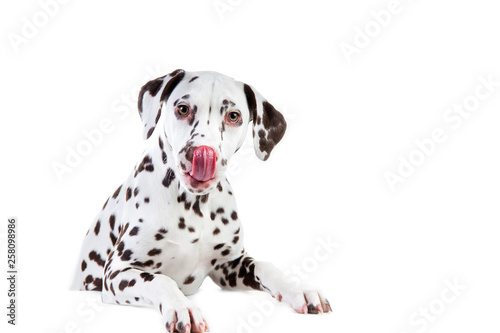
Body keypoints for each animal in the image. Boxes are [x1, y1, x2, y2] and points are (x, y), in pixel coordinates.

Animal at [69, 68, 328, 330]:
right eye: (183, 109)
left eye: (233, 116)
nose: (202, 153)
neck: (194, 206)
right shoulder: (118, 272)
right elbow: (160, 280)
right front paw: (182, 307)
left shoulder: (230, 266)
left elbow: (265, 266)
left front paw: (297, 289)